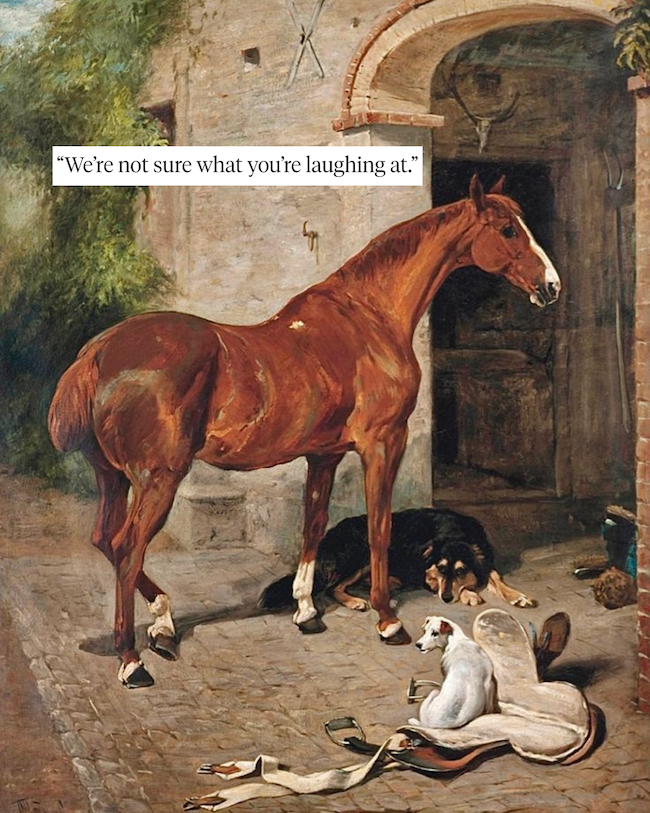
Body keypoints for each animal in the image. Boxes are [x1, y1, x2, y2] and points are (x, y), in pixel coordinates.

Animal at [48, 176, 560, 688]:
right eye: (507, 230)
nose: (551, 286)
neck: (369, 318)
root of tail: (98, 351)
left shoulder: (324, 454)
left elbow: (313, 525)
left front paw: (306, 611)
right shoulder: (383, 443)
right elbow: (379, 528)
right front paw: (387, 619)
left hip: (113, 476)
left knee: (105, 538)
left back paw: (163, 621)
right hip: (159, 478)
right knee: (127, 547)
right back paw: (133, 660)